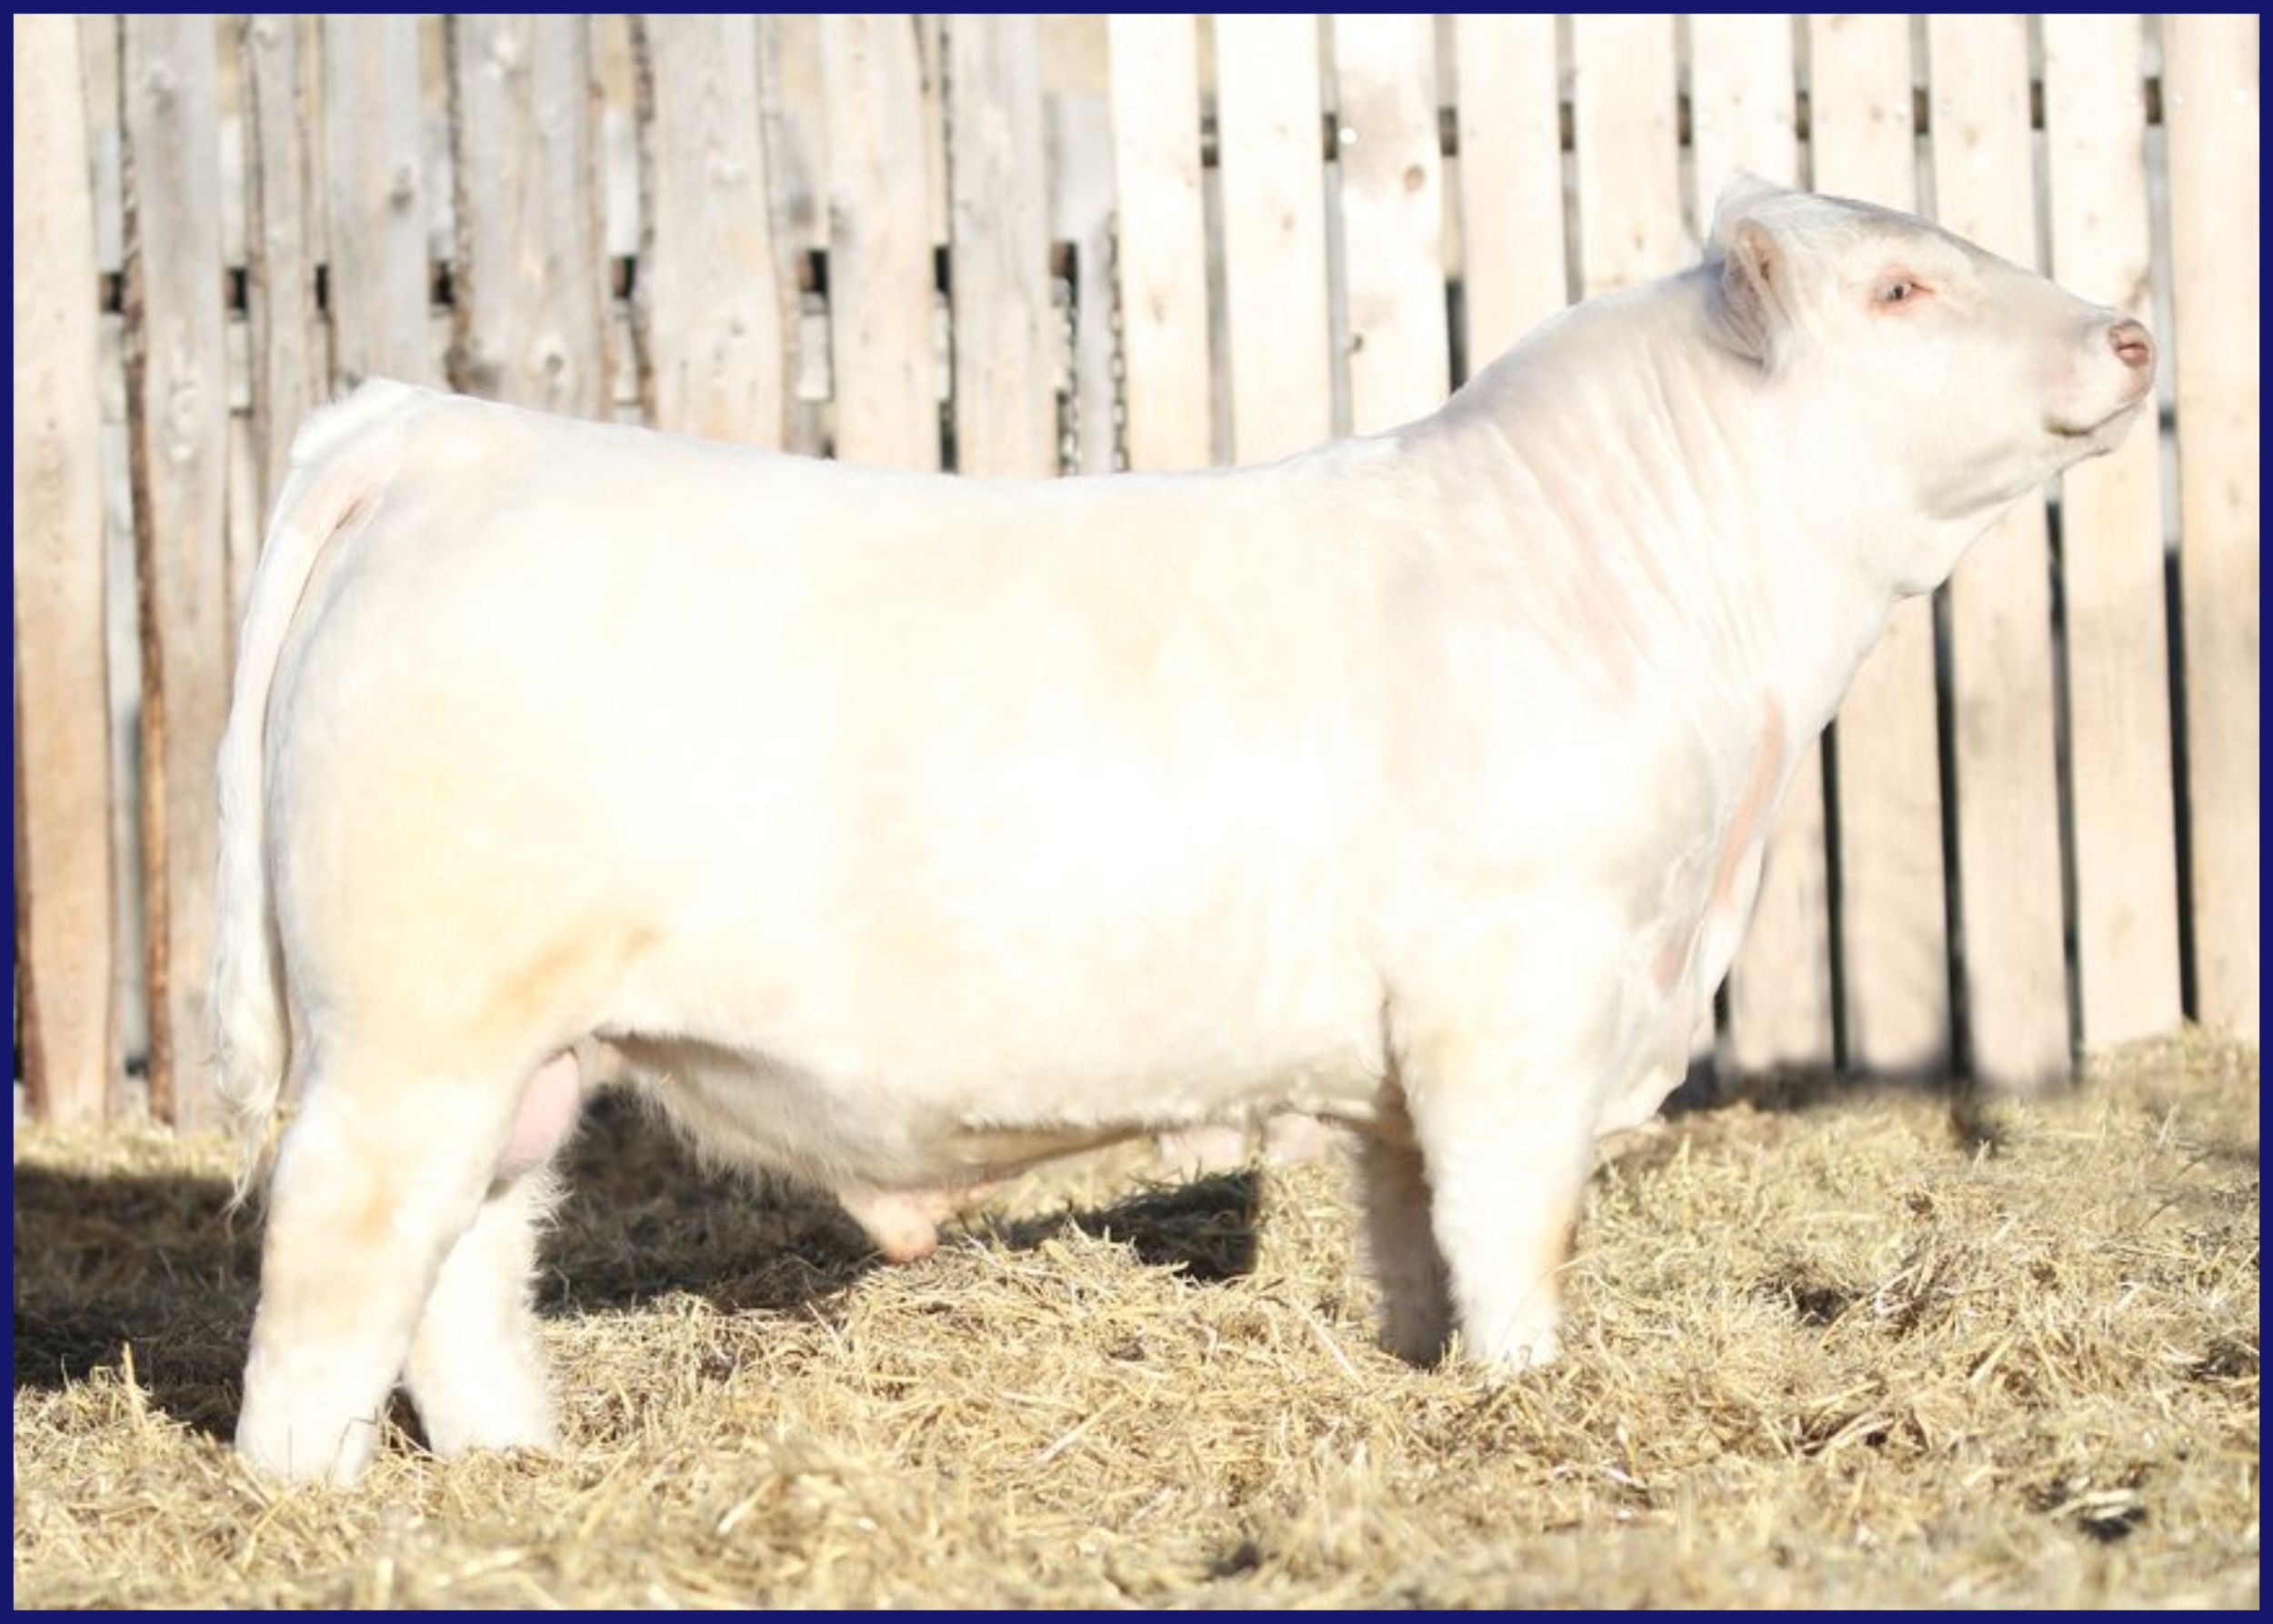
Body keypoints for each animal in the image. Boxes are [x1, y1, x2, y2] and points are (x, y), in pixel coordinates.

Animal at [212, 178, 2155, 1482]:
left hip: (518, 1057)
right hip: (410, 1034)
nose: (2134, 331)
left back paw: (514, 1470)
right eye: (1901, 282)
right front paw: (1531, 1398)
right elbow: (1516, 1231)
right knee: (335, 1271)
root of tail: (443, 433)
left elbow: (1415, 1244)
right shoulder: (1519, 993)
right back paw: (312, 1501)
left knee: (466, 1267)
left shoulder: (1413, 1058)